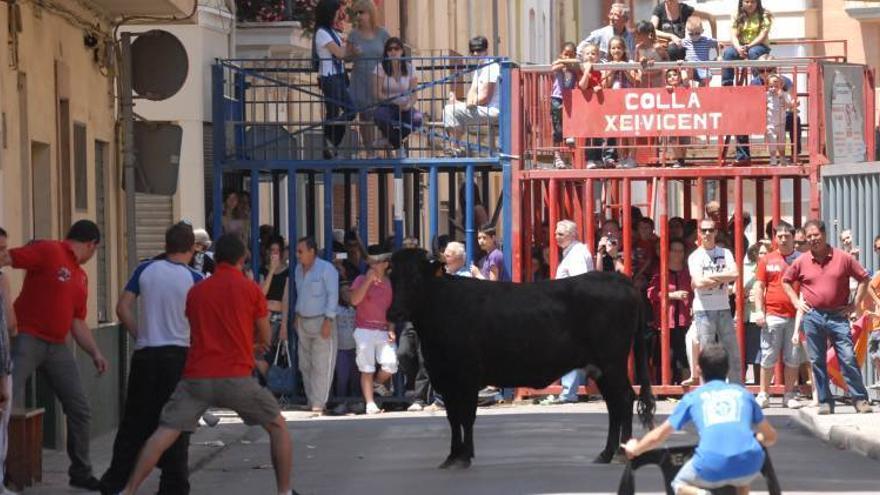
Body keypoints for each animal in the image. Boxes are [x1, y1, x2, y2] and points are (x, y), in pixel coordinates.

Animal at [386, 250, 652, 470]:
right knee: (614, 404)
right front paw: (452, 456)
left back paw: (623, 453)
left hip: (612, 362)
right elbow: (453, 418)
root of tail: (620, 280)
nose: (394, 312)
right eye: (392, 277)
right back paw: (606, 453)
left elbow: (467, 417)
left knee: (624, 399)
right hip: (601, 368)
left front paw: (464, 456)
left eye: (416, 278)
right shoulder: (445, 377)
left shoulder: (467, 376)